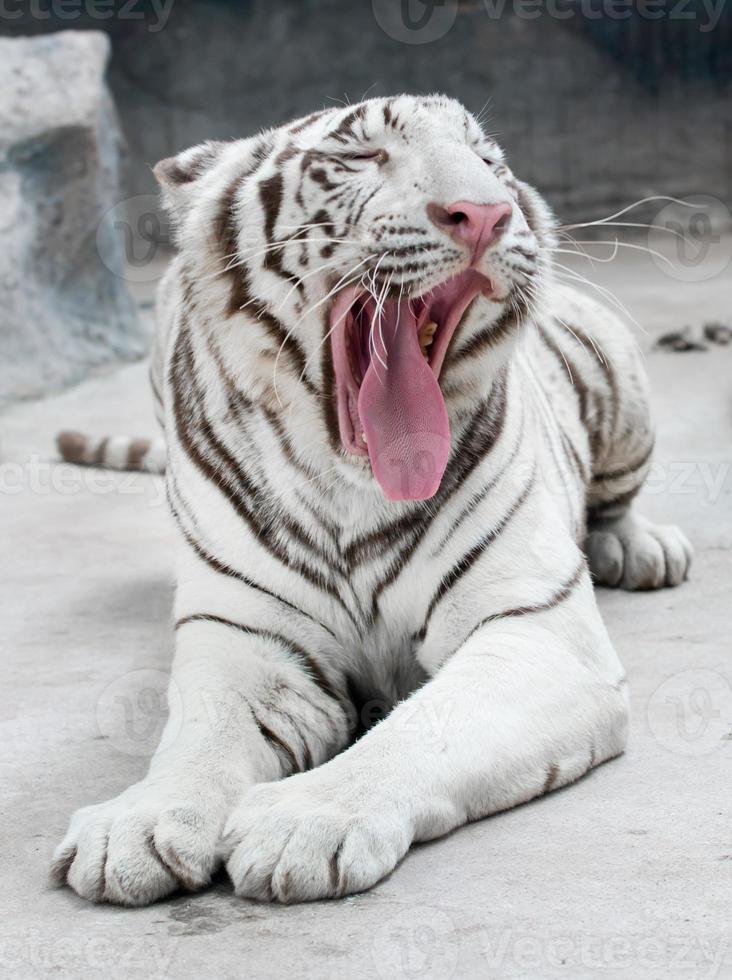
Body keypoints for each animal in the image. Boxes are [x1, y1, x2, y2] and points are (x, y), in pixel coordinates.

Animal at [51, 95, 692, 908]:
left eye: (489, 161)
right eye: (360, 157)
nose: (486, 213)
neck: (348, 488)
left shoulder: (535, 629)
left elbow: (425, 726)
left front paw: (301, 821)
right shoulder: (246, 638)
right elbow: (201, 735)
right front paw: (135, 825)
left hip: (616, 372)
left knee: (618, 500)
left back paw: (642, 548)